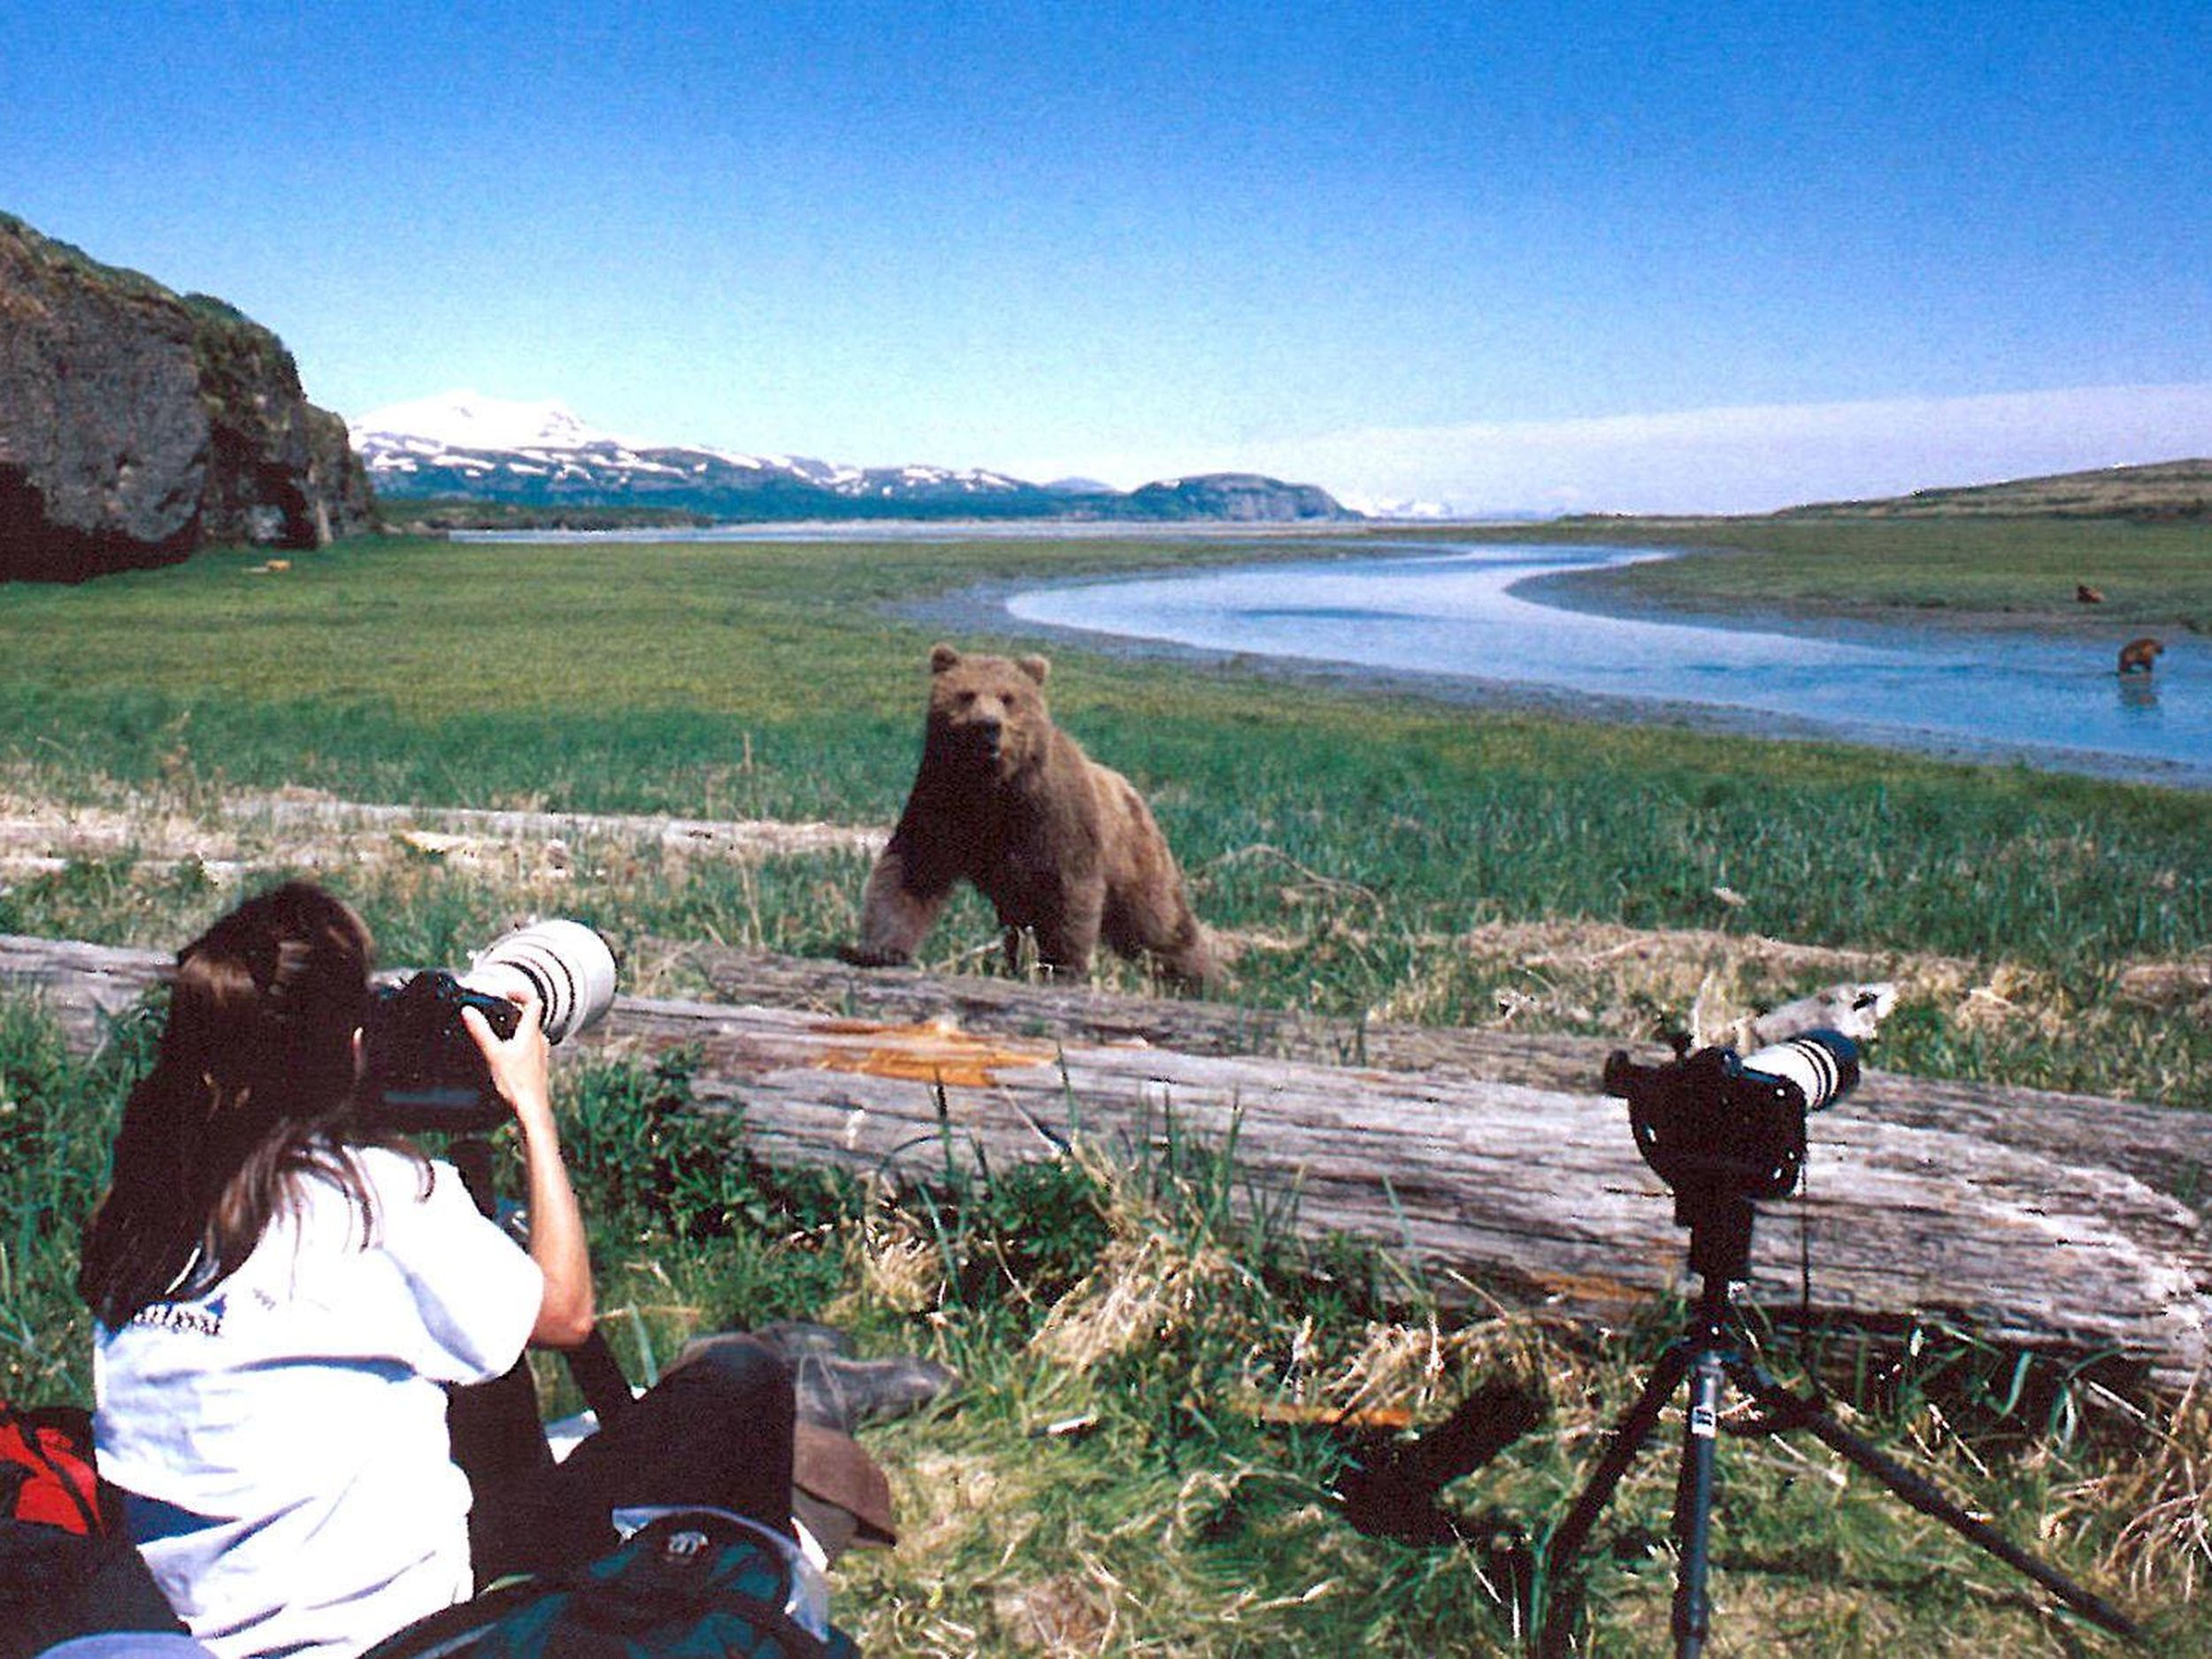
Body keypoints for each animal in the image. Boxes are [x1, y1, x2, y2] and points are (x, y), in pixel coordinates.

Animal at [854, 646, 1221, 987]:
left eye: (1007, 697)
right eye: (966, 694)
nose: (988, 726)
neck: (995, 787)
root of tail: (1133, 792)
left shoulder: (1056, 819)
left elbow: (1071, 893)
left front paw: (1061, 970)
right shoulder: (943, 799)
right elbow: (914, 867)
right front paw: (882, 949)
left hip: (1135, 855)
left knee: (1159, 922)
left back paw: (1203, 980)